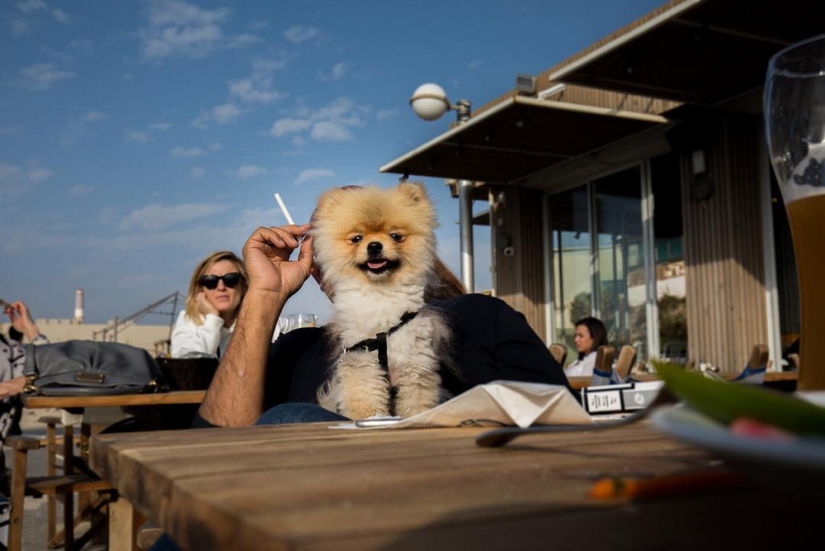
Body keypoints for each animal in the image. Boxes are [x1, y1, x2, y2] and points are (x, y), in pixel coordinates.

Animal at [310, 183, 450, 420]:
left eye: (395, 236)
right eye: (357, 238)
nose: (374, 246)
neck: (381, 293)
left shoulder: (415, 365)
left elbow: (415, 405)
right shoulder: (362, 361)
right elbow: (366, 401)